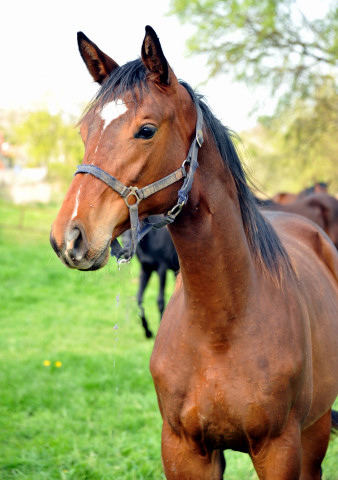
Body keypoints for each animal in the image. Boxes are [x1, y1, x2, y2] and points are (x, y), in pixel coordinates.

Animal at [50, 25, 338, 480]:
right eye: (85, 132)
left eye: (146, 130)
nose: (70, 237)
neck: (220, 328)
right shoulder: (183, 450)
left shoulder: (280, 450)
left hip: (316, 430)